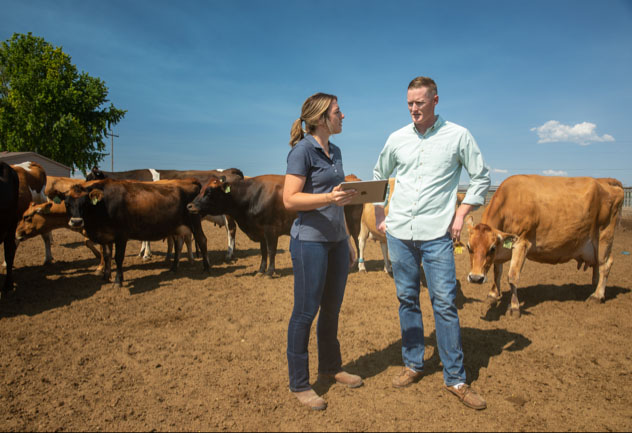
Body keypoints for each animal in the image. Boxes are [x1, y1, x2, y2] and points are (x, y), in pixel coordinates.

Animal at [65, 176, 211, 286]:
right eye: (67, 203)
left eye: (85, 202)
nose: (76, 222)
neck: (104, 204)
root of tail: (189, 180)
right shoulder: (105, 236)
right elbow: (106, 256)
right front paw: (106, 276)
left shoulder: (121, 236)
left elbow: (118, 257)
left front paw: (118, 281)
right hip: (177, 228)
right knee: (178, 245)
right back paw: (174, 268)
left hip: (194, 221)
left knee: (202, 240)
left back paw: (207, 268)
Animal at [88, 165, 244, 260]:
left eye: (91, 179)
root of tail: (230, 170)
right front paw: (142, 252)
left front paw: (146, 254)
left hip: (228, 214)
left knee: (231, 229)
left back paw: (229, 254)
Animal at [462, 175, 624, 318]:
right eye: (469, 247)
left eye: (492, 248)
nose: (475, 278)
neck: (510, 202)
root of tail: (605, 181)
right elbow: (497, 271)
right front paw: (493, 294)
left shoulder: (521, 243)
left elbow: (512, 276)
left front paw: (514, 307)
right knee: (597, 267)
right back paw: (594, 287)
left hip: (604, 237)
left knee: (605, 264)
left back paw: (597, 295)